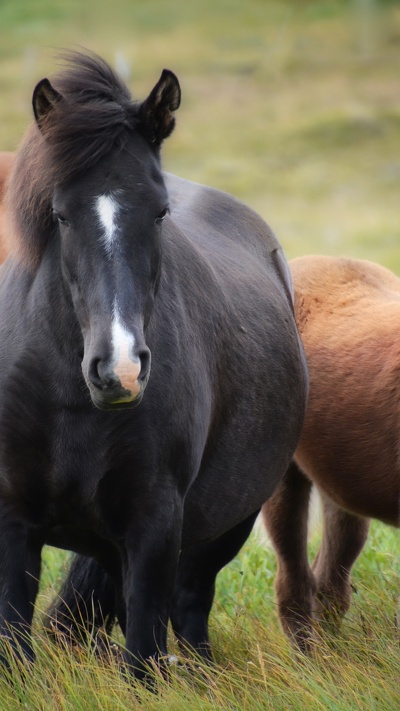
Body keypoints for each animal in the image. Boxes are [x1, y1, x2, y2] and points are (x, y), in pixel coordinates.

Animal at [0, 52, 308, 680]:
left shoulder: (155, 525)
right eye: (60, 215)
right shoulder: (15, 521)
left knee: (189, 610)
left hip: (226, 526)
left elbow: (142, 657)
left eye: (161, 211)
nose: (119, 369)